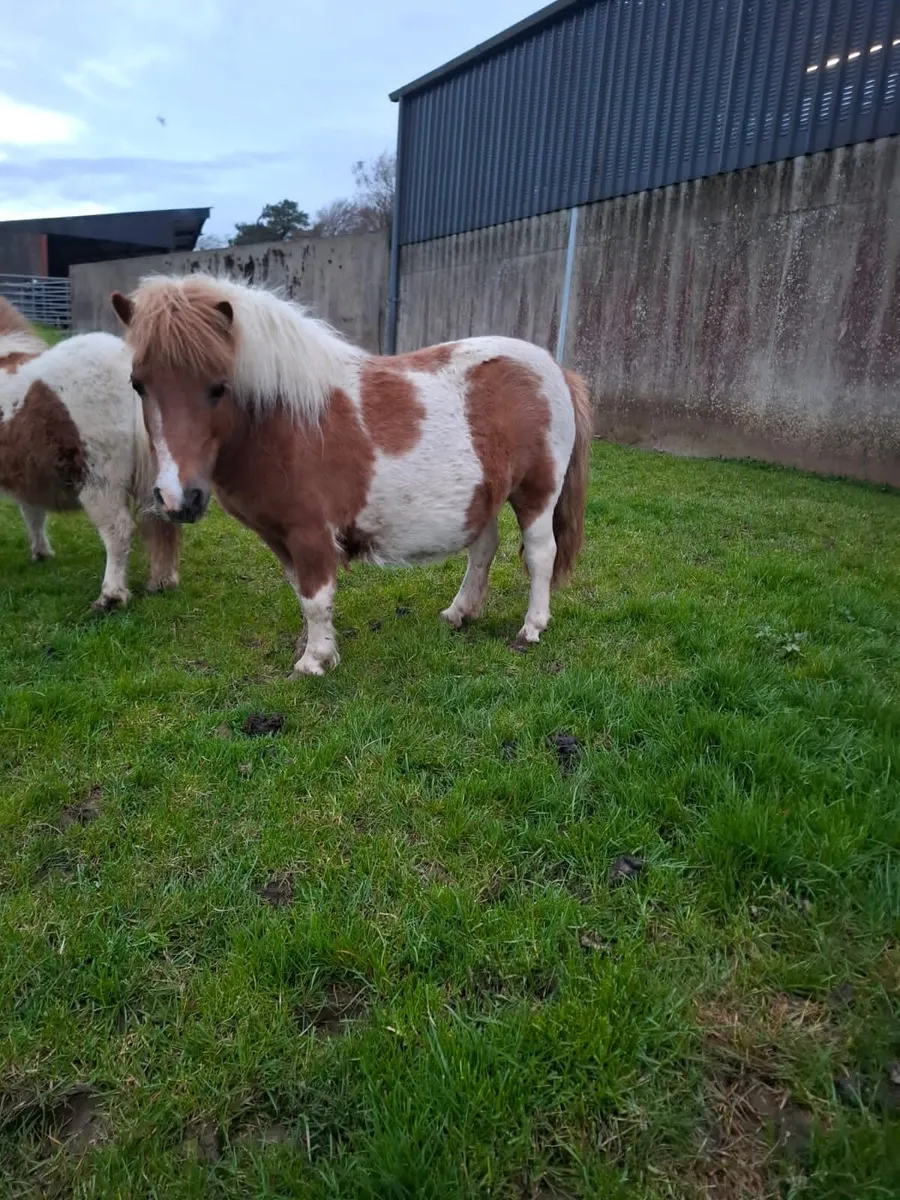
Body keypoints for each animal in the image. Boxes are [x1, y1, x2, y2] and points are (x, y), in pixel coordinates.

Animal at [0, 297, 180, 609]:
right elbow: (32, 513)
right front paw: (41, 553)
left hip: (99, 481)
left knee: (118, 531)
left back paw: (110, 597)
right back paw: (162, 582)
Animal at [110, 273, 592, 676]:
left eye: (218, 386)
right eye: (137, 384)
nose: (179, 498)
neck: (286, 422)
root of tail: (554, 368)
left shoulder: (309, 533)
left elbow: (316, 597)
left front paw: (314, 661)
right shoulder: (279, 536)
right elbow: (301, 593)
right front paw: (312, 646)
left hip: (537, 493)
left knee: (541, 554)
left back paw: (531, 627)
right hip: (483, 495)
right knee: (483, 549)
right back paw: (459, 613)